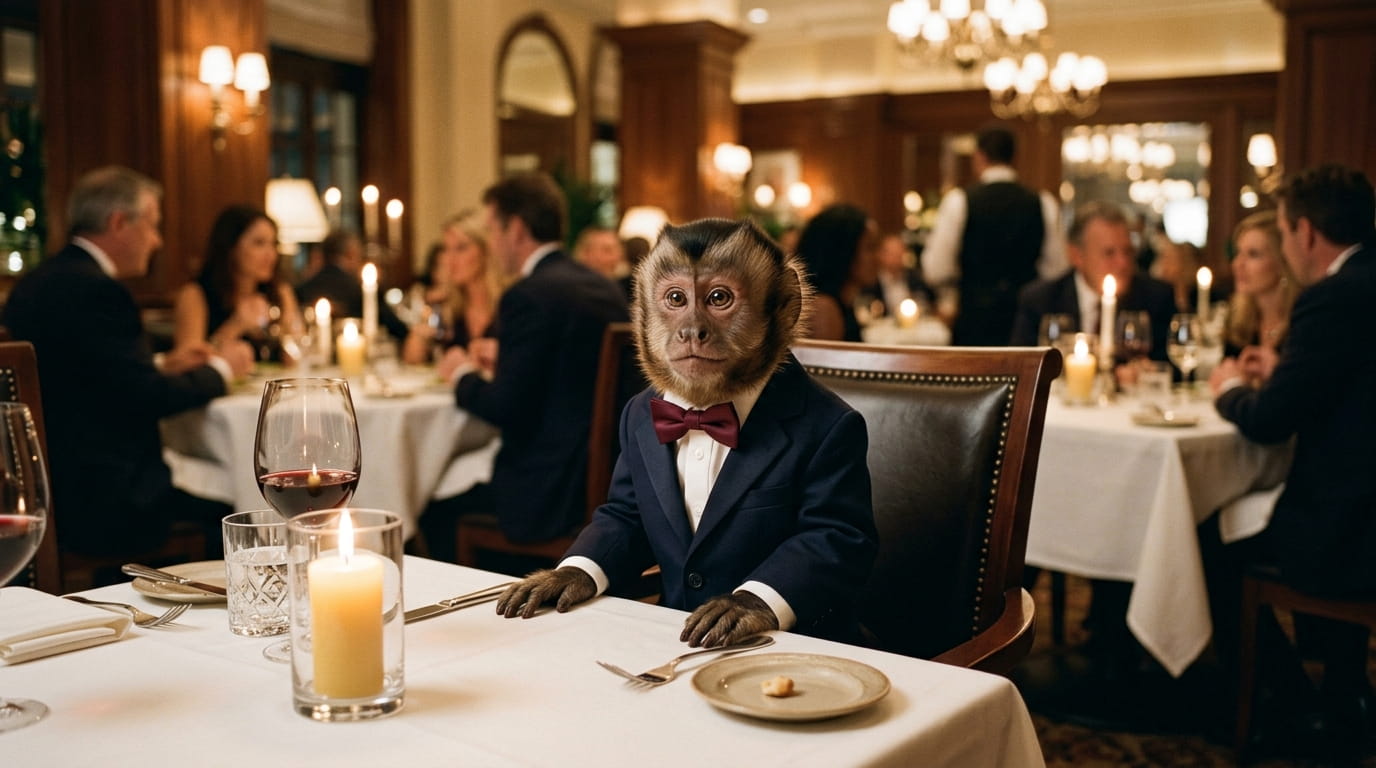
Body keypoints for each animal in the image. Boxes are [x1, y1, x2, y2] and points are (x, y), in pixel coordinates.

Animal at [495, 218, 877, 649]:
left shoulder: (840, 434)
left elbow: (833, 533)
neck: (703, 411)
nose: (692, 331)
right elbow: (623, 515)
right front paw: (567, 575)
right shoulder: (636, 419)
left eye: (718, 298)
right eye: (676, 298)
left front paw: (745, 604)